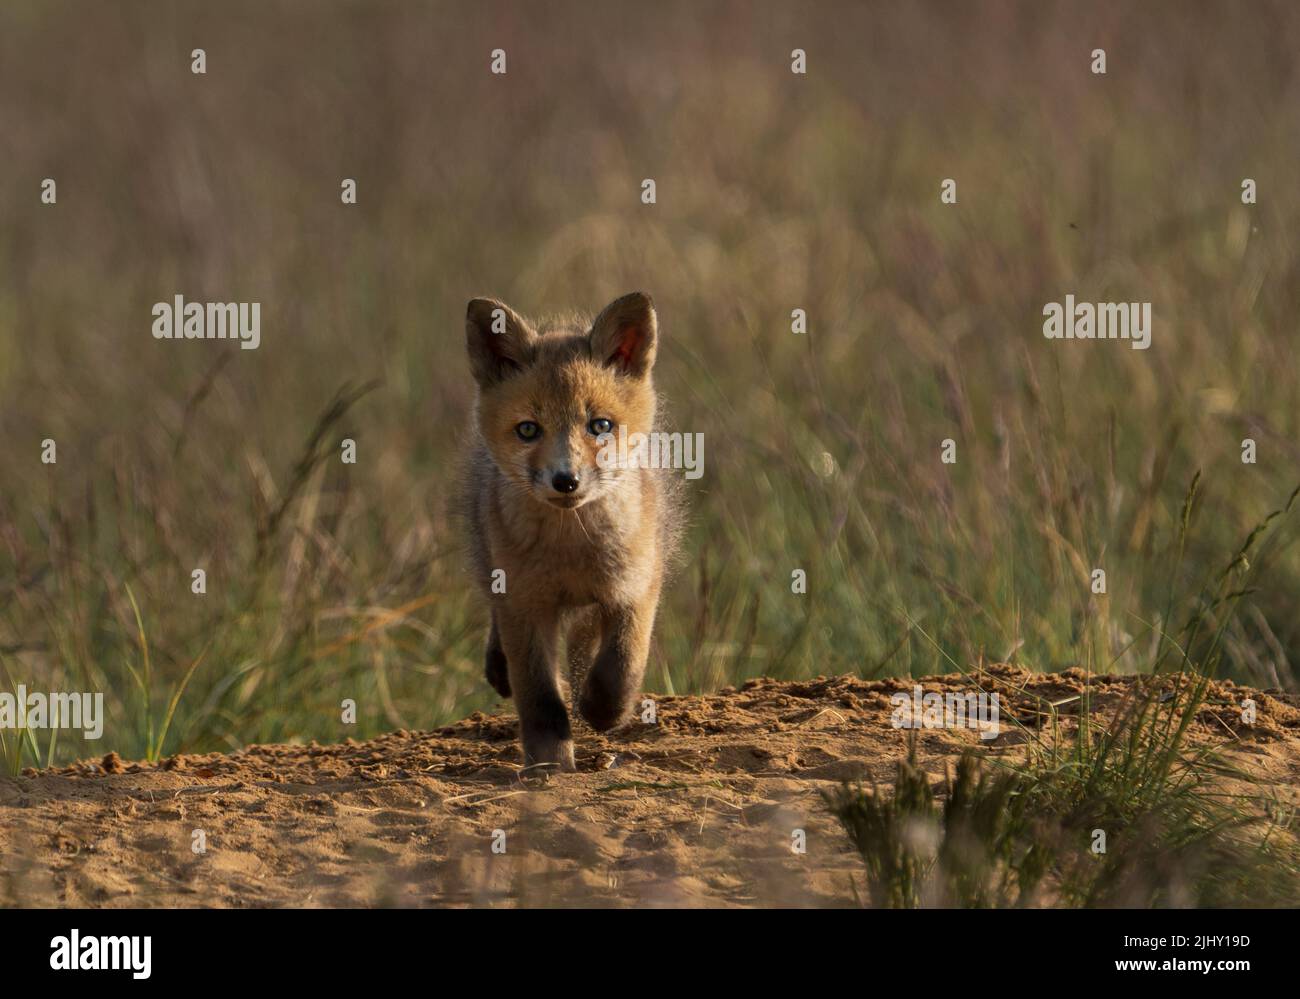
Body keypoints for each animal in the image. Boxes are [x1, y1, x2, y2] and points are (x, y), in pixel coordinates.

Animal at [462, 291, 682, 772]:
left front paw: (602, 711)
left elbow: (621, 663)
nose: (566, 480)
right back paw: (499, 665)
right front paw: (550, 765)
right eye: (528, 429)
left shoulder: (635, 587)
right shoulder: (524, 605)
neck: (571, 550)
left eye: (600, 425)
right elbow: (540, 698)